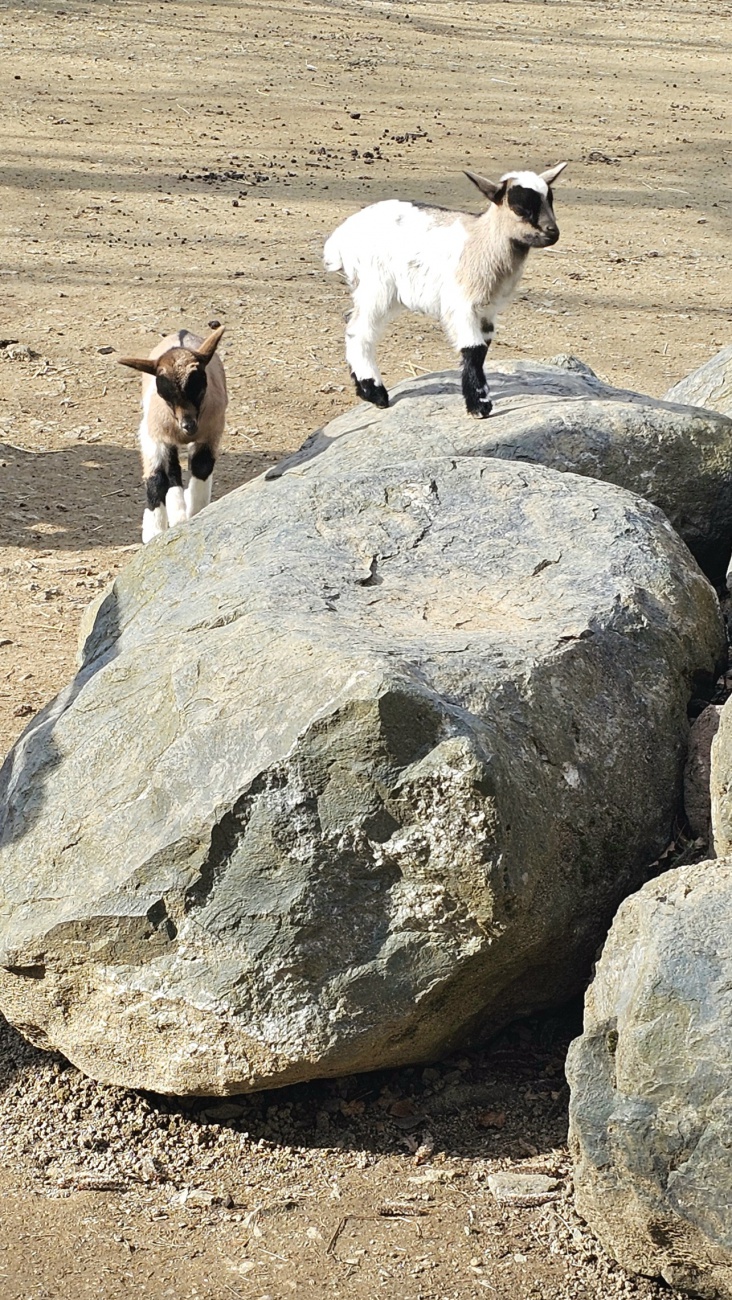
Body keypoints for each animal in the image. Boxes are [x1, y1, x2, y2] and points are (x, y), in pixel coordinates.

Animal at [118, 326, 227, 543]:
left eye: (200, 387)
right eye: (165, 394)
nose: (188, 425)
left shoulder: (212, 431)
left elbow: (202, 466)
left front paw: (195, 512)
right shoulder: (155, 434)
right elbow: (159, 477)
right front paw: (155, 530)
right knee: (169, 471)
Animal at [324, 163, 567, 417]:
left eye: (550, 200)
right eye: (519, 207)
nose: (553, 232)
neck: (482, 241)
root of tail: (340, 237)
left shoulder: (488, 309)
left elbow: (483, 348)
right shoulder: (461, 303)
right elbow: (473, 348)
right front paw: (479, 405)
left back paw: (365, 390)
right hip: (377, 284)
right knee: (359, 330)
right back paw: (376, 392)